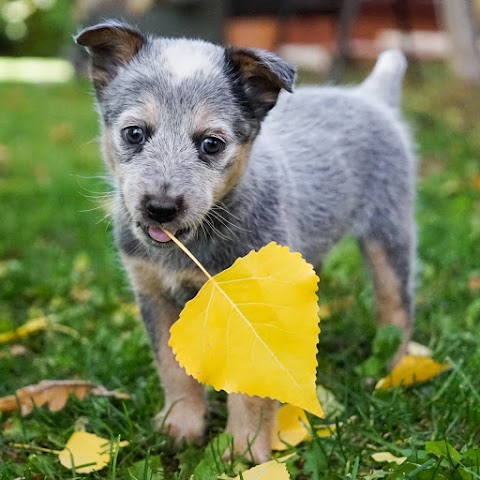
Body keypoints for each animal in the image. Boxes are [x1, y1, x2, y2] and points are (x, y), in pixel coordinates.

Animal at [75, 20, 416, 464]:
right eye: (134, 134)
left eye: (211, 143)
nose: (161, 208)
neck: (196, 249)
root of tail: (369, 95)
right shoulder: (154, 294)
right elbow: (172, 369)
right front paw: (181, 426)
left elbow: (253, 392)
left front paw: (244, 452)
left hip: (388, 232)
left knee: (397, 306)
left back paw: (390, 371)